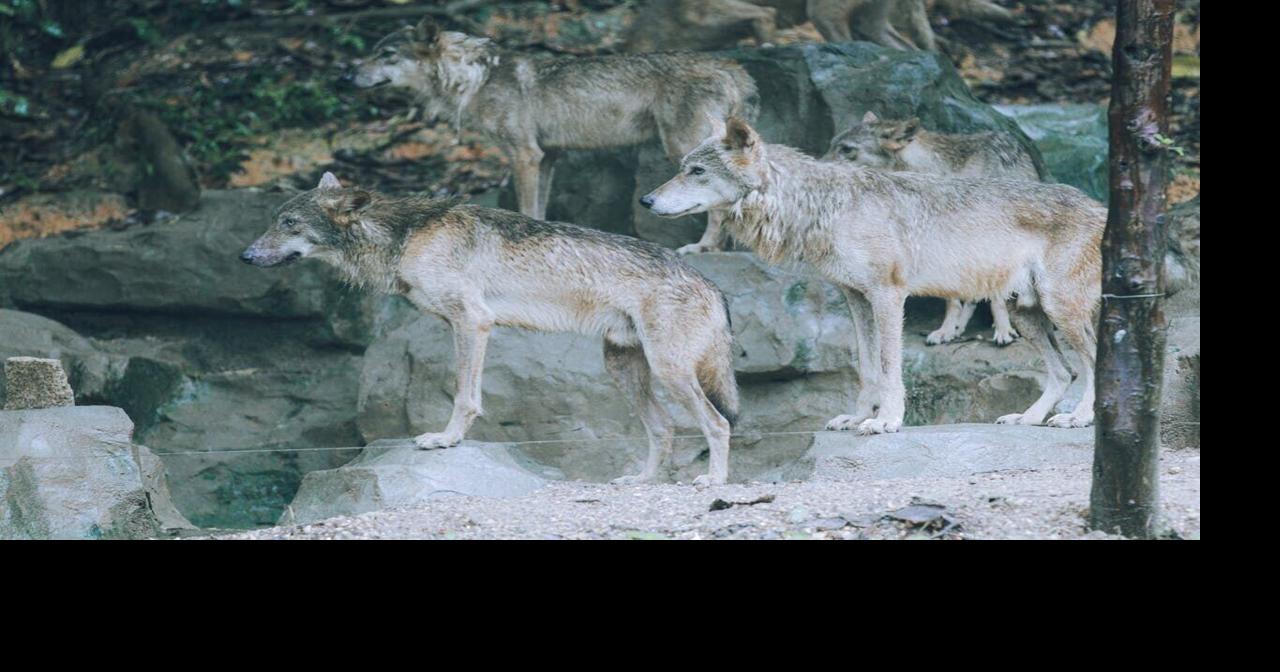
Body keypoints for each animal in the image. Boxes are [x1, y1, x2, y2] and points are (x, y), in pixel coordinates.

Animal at [241, 173, 739, 485]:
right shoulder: (461, 324)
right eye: (273, 220)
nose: (245, 256)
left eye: (289, 223)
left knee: (717, 424)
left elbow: (465, 397)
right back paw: (640, 480)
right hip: (624, 370)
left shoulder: (472, 322)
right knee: (664, 429)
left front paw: (446, 440)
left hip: (669, 371)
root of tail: (712, 284)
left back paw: (713, 481)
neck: (406, 236)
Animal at [351, 18, 756, 256]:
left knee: (718, 207)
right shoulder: (546, 158)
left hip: (683, 151)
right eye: (373, 52)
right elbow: (540, 211)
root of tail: (731, 67)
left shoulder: (524, 156)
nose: (346, 77)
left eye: (386, 54)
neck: (475, 80)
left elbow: (527, 208)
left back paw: (703, 247)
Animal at [825, 111, 1048, 346]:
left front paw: (1004, 330)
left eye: (846, 149)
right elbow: (951, 299)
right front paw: (946, 329)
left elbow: (995, 297)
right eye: (832, 144)